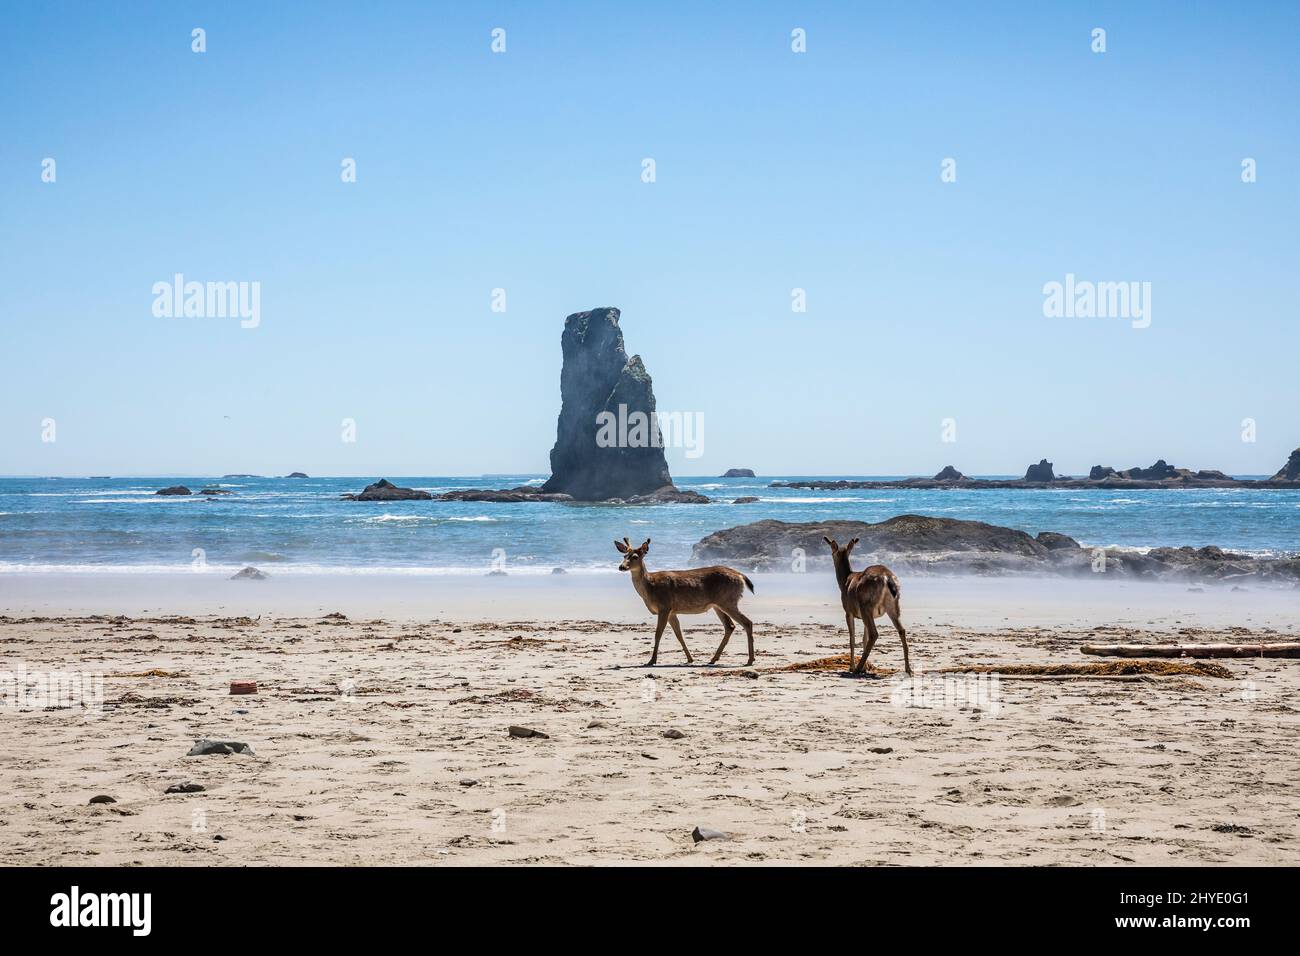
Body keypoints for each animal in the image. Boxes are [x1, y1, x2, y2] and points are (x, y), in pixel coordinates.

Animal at [613, 538, 759, 665]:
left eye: (635, 557)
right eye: (624, 556)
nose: (621, 567)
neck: (650, 587)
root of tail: (741, 575)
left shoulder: (664, 606)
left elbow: (658, 634)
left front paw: (652, 660)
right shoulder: (672, 612)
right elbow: (679, 634)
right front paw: (690, 659)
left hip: (728, 600)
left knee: (747, 622)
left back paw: (750, 660)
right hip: (718, 605)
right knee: (730, 626)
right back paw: (713, 659)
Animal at [821, 535, 915, 676]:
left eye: (832, 551)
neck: (845, 581)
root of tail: (887, 577)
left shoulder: (848, 611)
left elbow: (852, 639)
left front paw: (852, 667)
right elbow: (863, 638)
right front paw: (865, 667)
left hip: (866, 606)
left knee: (874, 633)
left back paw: (857, 669)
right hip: (893, 606)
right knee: (901, 630)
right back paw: (908, 669)